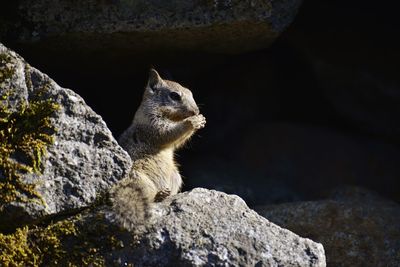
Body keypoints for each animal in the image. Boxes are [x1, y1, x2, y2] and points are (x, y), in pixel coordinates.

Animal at [109, 69, 206, 230]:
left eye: (191, 93)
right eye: (174, 95)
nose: (195, 111)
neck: (172, 117)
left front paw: (200, 119)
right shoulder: (152, 123)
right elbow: (166, 133)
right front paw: (192, 122)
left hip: (175, 177)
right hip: (140, 180)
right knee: (149, 198)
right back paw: (159, 195)